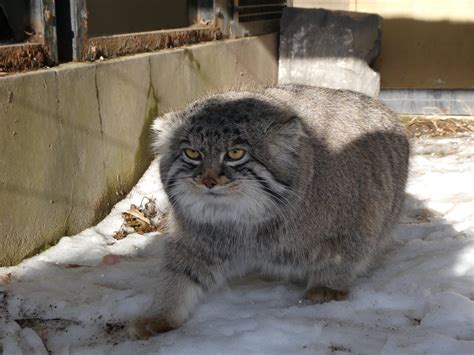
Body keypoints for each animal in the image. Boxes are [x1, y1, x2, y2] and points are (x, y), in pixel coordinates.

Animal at [131, 85, 410, 338]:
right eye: (192, 153)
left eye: (235, 153)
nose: (208, 181)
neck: (245, 223)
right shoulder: (195, 237)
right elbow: (178, 275)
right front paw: (160, 314)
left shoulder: (356, 220)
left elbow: (342, 257)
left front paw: (328, 286)